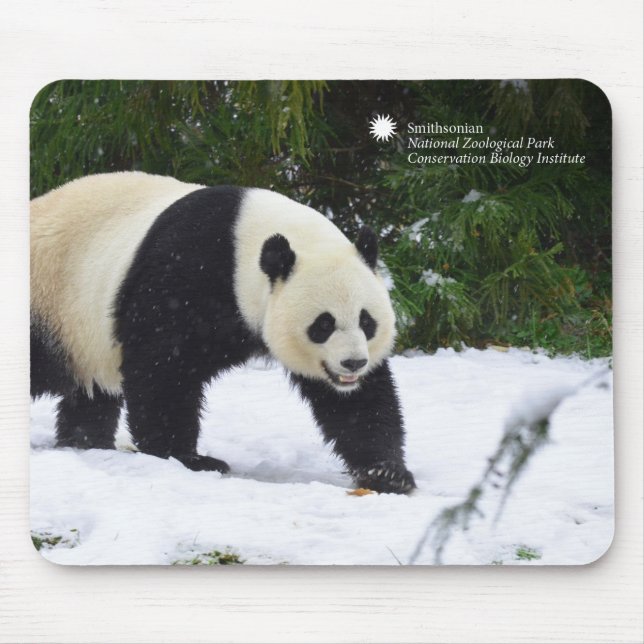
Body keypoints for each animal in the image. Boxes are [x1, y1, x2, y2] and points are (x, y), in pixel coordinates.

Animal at [30, 172, 416, 494]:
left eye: (367, 321)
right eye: (323, 324)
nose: (353, 364)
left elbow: (358, 403)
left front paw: (387, 473)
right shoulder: (183, 273)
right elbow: (163, 370)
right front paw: (188, 459)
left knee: (91, 395)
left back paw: (85, 441)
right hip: (52, 298)